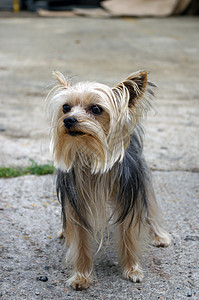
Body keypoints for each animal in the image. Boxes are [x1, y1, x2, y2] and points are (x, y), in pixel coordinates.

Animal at [45, 70, 170, 290]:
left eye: (96, 109)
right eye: (66, 107)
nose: (68, 120)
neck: (91, 154)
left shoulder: (128, 198)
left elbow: (128, 235)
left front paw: (132, 269)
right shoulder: (76, 205)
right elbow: (80, 242)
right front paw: (81, 276)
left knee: (150, 208)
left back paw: (158, 235)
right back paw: (64, 231)